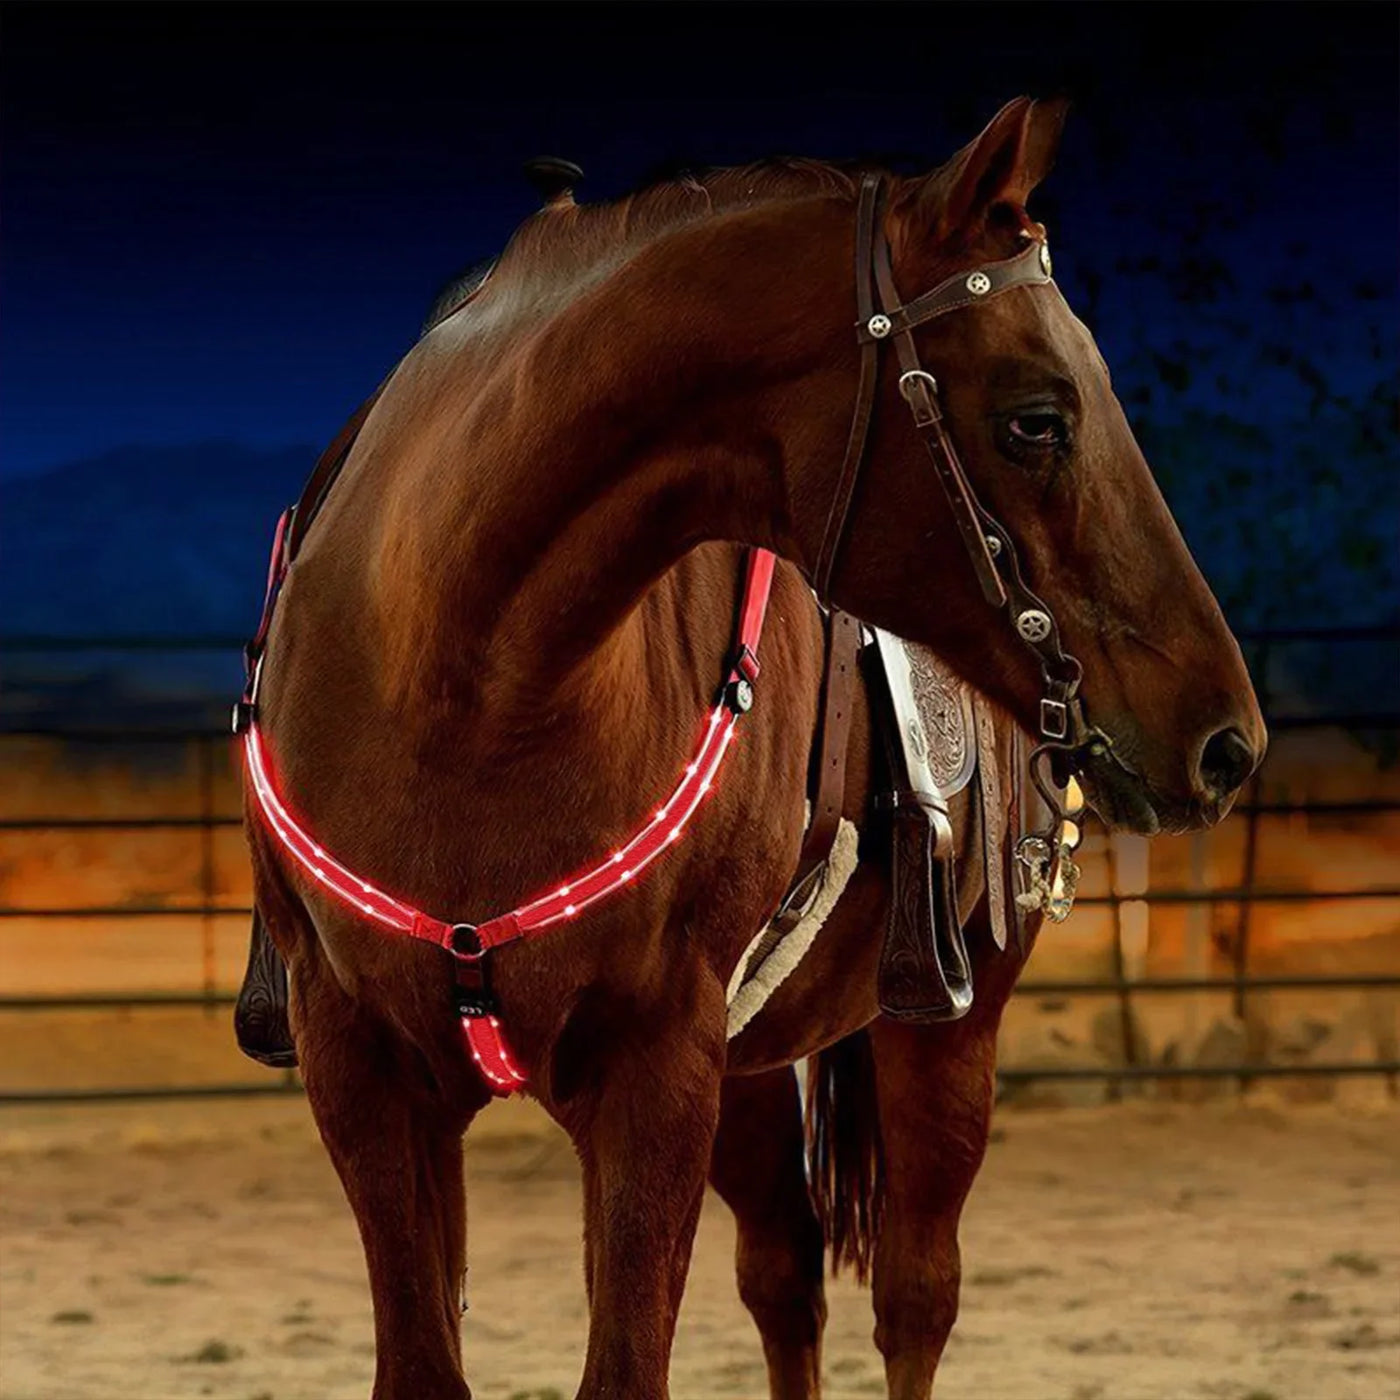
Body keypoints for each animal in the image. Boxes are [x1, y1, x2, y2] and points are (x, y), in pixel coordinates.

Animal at [239, 96, 1265, 1398]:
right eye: (1036, 418)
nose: (1225, 739)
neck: (458, 685)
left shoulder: (655, 1068)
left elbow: (628, 1361)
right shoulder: (363, 1067)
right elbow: (431, 1358)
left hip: (942, 1028)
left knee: (913, 1296)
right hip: (746, 1071)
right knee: (784, 1277)